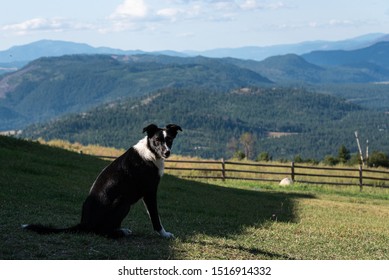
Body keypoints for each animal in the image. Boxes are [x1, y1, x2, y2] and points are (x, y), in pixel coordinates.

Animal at [22, 123, 182, 237]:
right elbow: (155, 217)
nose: (166, 153)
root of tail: (84, 223)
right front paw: (164, 234)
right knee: (103, 231)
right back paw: (121, 232)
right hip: (124, 202)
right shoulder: (150, 191)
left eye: (169, 140)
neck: (150, 152)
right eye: (157, 140)